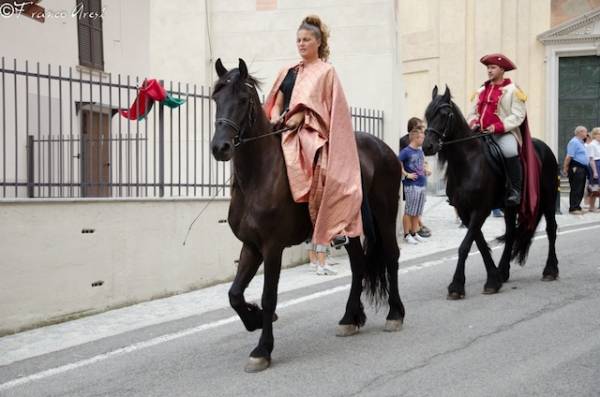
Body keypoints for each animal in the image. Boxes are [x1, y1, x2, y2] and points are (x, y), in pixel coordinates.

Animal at [210, 58, 404, 372]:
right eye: (216, 97)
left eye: (242, 99)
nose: (220, 147)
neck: (258, 177)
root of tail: (386, 149)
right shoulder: (251, 245)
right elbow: (234, 294)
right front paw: (253, 319)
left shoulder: (272, 247)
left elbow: (269, 296)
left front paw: (262, 349)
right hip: (346, 228)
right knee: (359, 265)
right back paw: (350, 318)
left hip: (385, 215)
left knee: (391, 256)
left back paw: (395, 314)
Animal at [422, 86, 556, 296]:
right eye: (427, 115)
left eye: (444, 114)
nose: (427, 146)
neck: (468, 163)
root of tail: (545, 148)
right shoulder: (465, 211)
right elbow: (480, 243)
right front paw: (493, 278)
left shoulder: (481, 209)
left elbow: (465, 246)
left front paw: (457, 285)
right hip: (510, 207)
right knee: (510, 234)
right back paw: (503, 271)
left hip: (549, 199)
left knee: (551, 229)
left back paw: (550, 270)